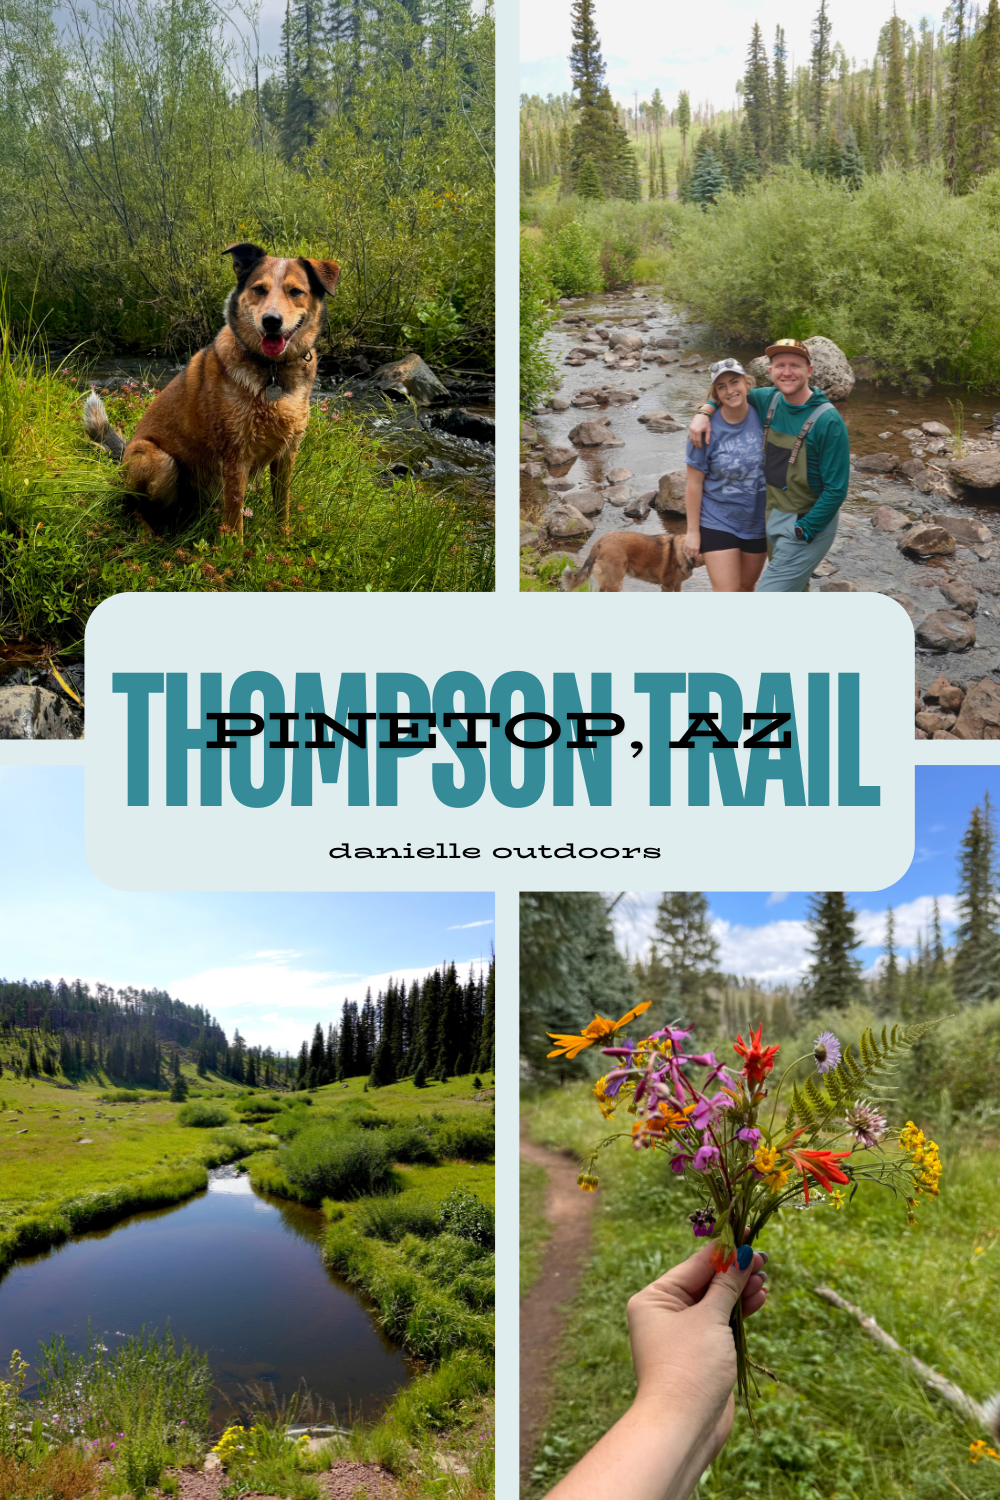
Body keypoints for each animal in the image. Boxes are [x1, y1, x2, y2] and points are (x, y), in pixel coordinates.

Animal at [83, 246, 340, 546]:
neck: (272, 369)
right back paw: (145, 533)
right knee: (131, 504)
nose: (271, 322)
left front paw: (283, 542)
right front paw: (234, 552)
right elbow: (235, 512)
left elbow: (282, 504)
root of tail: (124, 454)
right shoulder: (235, 455)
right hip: (159, 460)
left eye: (296, 291)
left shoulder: (287, 454)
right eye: (259, 289)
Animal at [563, 534, 704, 591]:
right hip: (615, 584)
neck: (683, 551)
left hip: (607, 583)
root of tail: (599, 543)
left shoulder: (677, 585)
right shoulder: (667, 586)